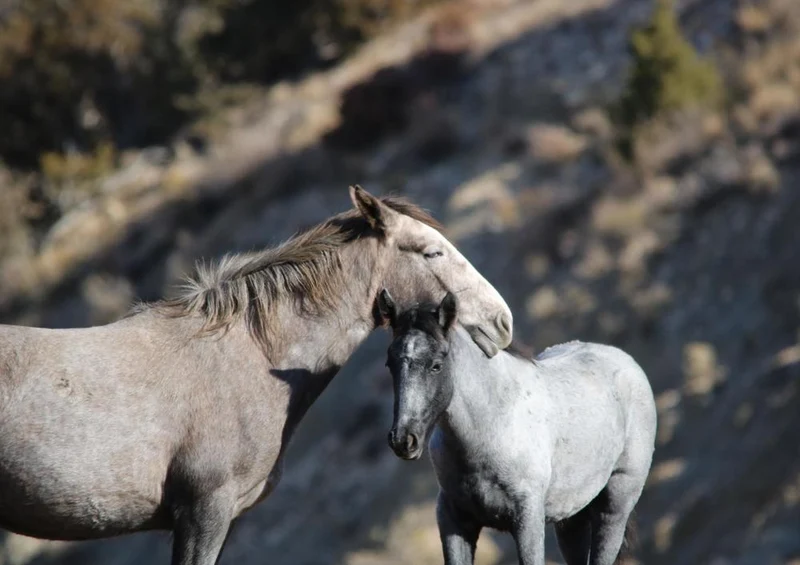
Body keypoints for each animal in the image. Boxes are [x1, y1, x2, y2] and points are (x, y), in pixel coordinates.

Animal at [378, 290, 656, 565]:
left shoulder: (528, 522)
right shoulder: (454, 522)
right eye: (390, 364)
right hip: (571, 519)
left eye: (436, 365)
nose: (403, 440)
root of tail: (626, 362)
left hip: (614, 508)